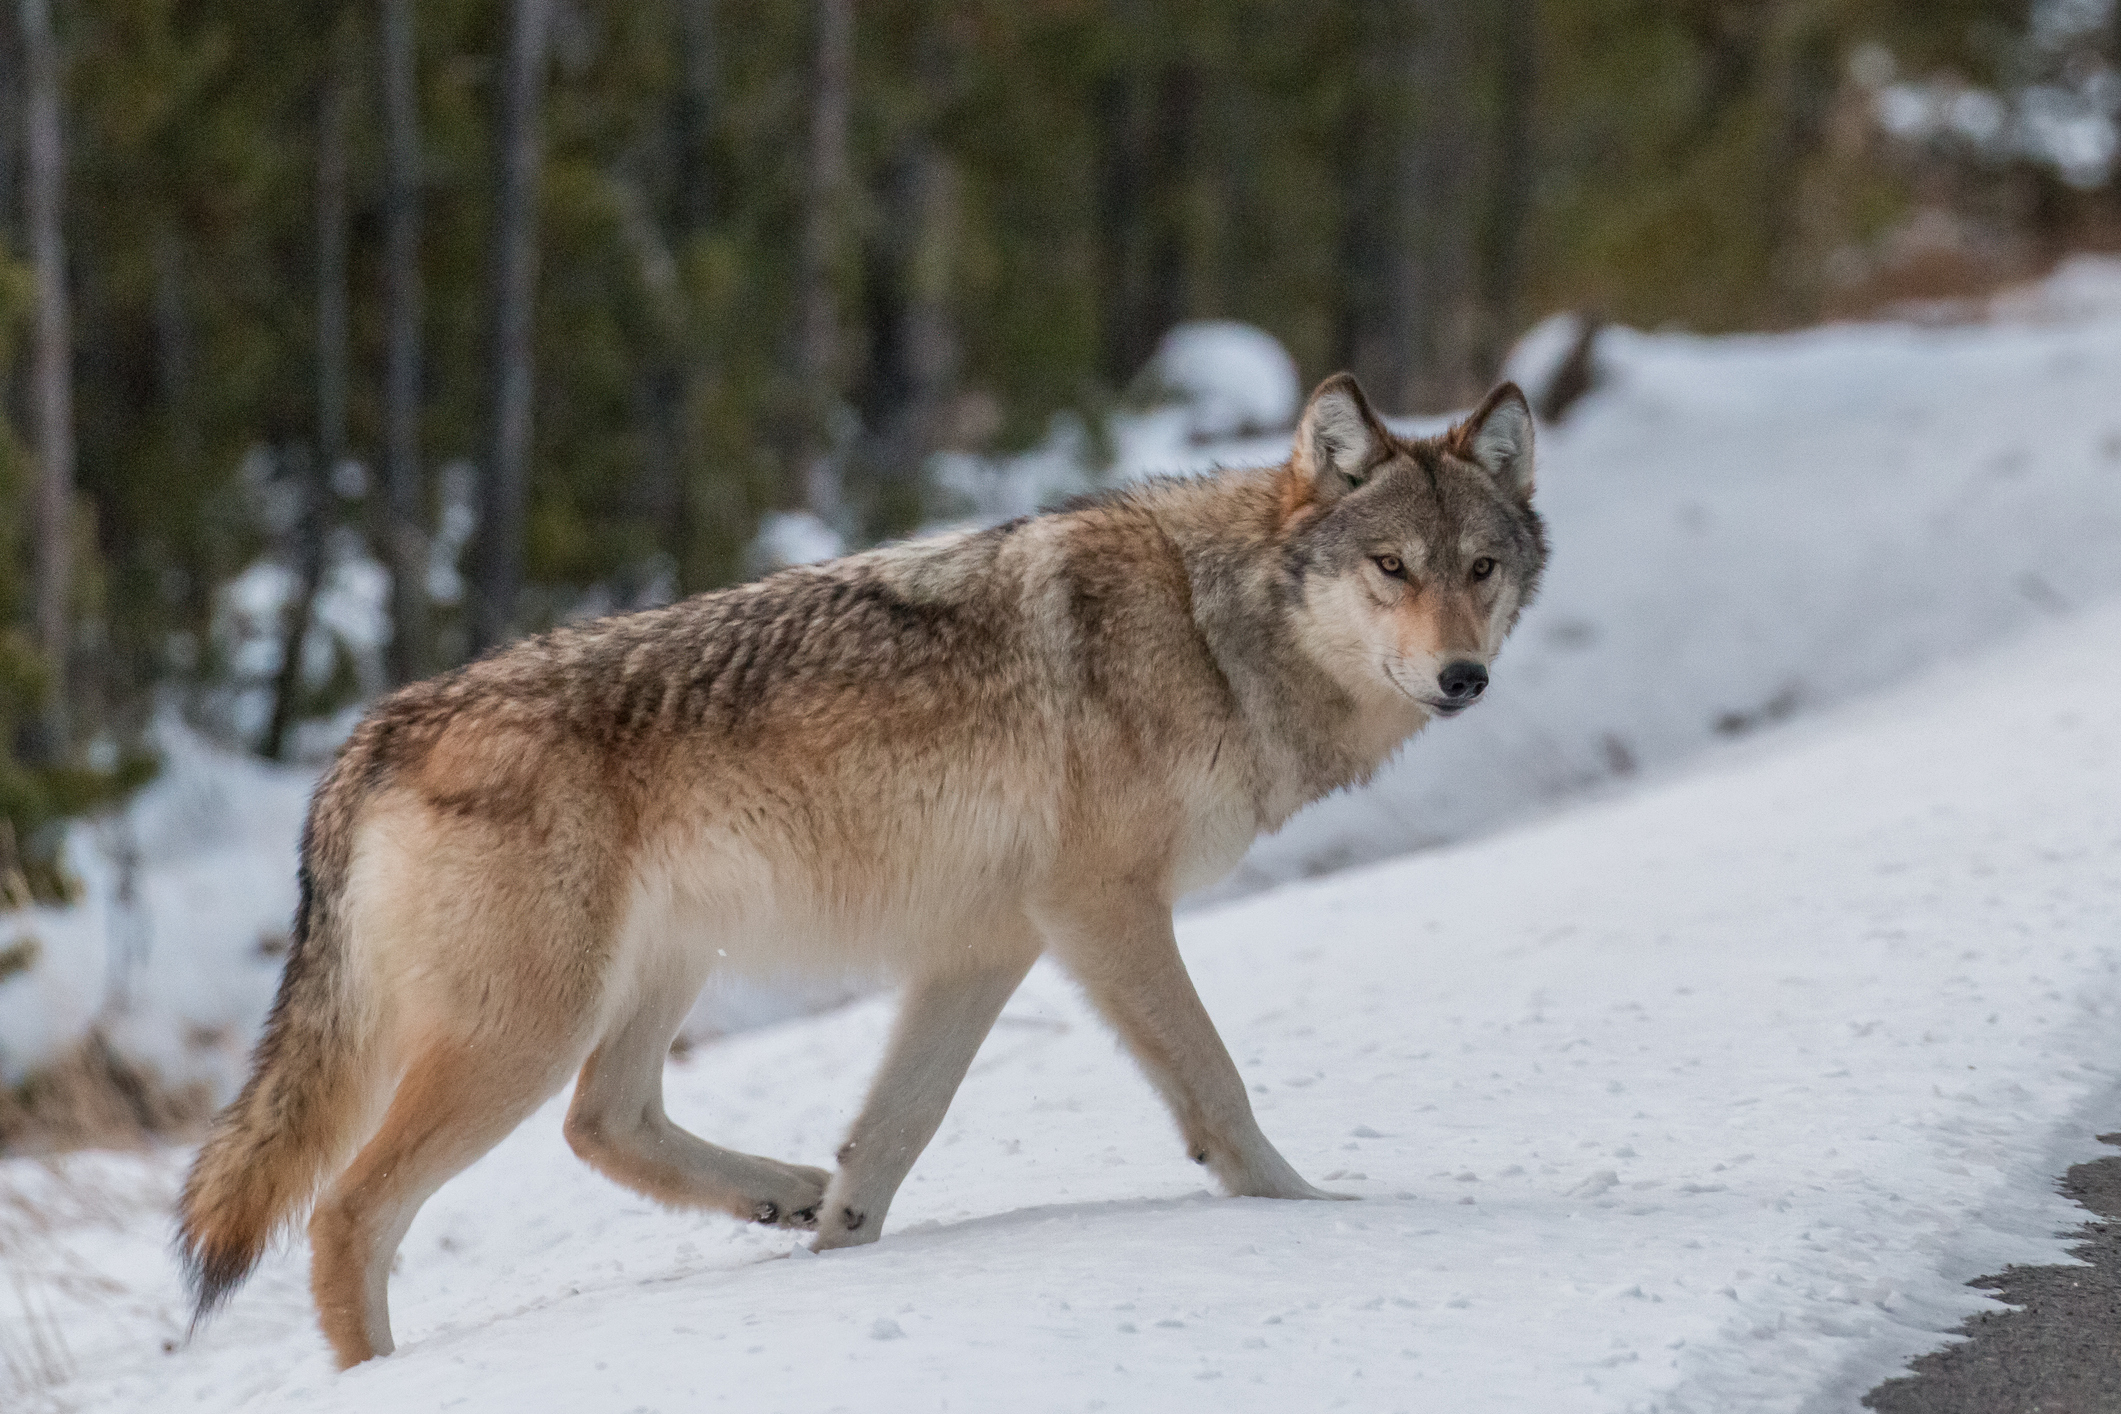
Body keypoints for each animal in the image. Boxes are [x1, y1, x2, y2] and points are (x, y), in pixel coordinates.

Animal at [173, 370, 1552, 1365]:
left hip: (654, 975)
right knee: (352, 1213)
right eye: (1392, 567)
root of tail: (371, 734)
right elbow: (1219, 1089)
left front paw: (841, 1257)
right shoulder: (1103, 912)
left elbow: (894, 1133)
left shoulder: (989, 941)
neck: (1212, 632)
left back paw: (783, 1191)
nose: (1463, 677)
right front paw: (1314, 1219)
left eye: (1480, 569)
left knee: (602, 1122)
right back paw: (381, 1377)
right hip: (526, 1029)